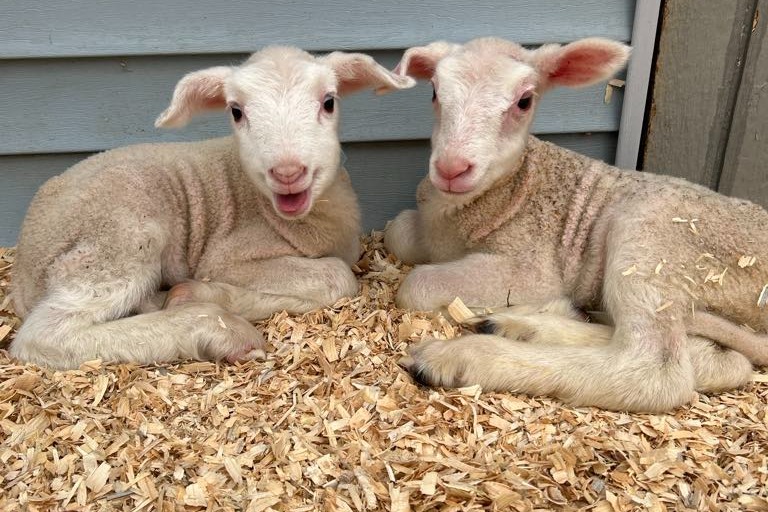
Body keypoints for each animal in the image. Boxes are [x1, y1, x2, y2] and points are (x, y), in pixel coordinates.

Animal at [10, 46, 415, 370]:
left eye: (329, 101)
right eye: (236, 111)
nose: (287, 172)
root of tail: (22, 272)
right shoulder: (226, 257)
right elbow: (338, 277)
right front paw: (205, 297)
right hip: (117, 242)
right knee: (44, 334)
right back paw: (220, 331)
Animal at [385, 36, 768, 412]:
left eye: (524, 101)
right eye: (434, 92)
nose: (451, 168)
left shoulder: (533, 268)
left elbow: (416, 286)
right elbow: (396, 232)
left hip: (653, 239)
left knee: (660, 369)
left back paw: (462, 356)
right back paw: (521, 325)